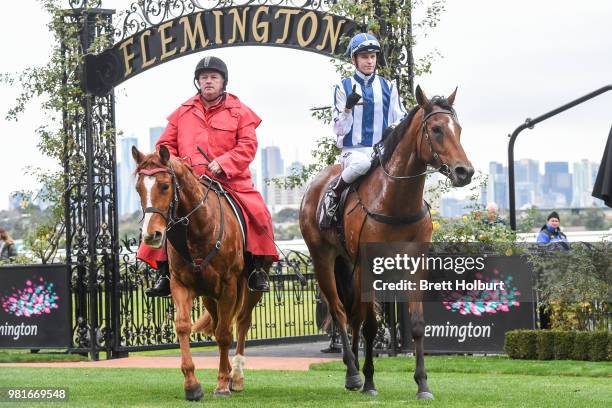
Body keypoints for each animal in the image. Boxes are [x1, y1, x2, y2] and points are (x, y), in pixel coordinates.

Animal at [133, 145, 268, 400]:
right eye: (138, 188)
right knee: (217, 324)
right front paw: (192, 384)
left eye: (164, 186)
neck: (197, 229)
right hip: (208, 296)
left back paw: (236, 376)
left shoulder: (228, 285)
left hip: (249, 288)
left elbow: (225, 333)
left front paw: (222, 384)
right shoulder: (181, 285)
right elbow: (184, 326)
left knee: (242, 321)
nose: (151, 235)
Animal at [300, 86, 474, 398]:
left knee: (353, 314)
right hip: (322, 259)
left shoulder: (414, 265)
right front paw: (369, 381)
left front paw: (422, 384)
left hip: (348, 264)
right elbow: (371, 324)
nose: (464, 172)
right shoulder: (369, 267)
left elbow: (416, 324)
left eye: (459, 128)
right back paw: (353, 373)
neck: (395, 200)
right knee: (340, 311)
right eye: (437, 129)